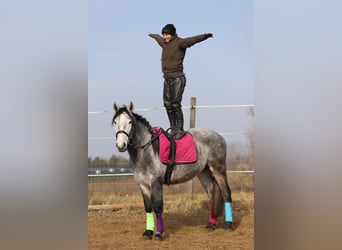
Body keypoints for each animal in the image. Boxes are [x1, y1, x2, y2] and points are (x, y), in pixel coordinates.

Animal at [111, 102, 232, 240]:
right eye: (115, 122)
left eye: (130, 122)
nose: (121, 145)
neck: (146, 150)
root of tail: (218, 136)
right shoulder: (142, 183)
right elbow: (148, 207)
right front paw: (148, 232)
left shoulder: (156, 181)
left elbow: (158, 206)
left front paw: (159, 233)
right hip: (204, 173)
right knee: (212, 195)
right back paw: (211, 224)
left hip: (218, 169)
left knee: (226, 193)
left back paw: (228, 225)